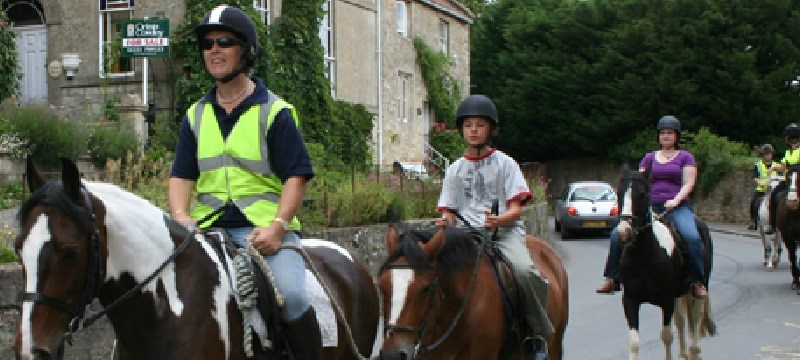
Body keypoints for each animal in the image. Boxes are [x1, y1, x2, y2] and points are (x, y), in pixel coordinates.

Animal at [616, 170, 716, 360]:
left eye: (642, 194)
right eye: (618, 193)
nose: (624, 231)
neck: (645, 256)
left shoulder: (667, 300)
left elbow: (667, 336)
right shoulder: (630, 300)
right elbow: (634, 342)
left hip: (699, 288)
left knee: (695, 320)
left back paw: (694, 351)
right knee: (681, 322)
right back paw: (684, 354)